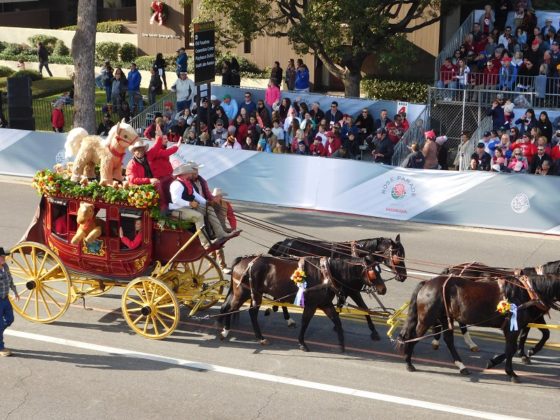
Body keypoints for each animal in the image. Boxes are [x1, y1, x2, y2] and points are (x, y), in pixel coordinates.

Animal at [217, 254, 388, 352]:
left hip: (251, 294)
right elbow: (306, 321)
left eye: (379, 270)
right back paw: (226, 331)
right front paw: (302, 343)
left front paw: (342, 344)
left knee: (249, 311)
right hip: (243, 293)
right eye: (373, 272)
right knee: (232, 308)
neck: (326, 274)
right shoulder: (312, 304)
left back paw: (258, 336)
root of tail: (244, 261)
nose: (383, 289)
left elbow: (337, 321)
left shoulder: (325, 304)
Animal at [268, 235, 404, 340]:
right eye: (398, 257)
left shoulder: (345, 289)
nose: (403, 276)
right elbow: (363, 307)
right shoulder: (352, 290)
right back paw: (288, 318)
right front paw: (374, 331)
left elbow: (341, 305)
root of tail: (284, 243)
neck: (355, 257)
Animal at [398, 272, 560, 384]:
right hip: (427, 319)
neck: (525, 291)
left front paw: (496, 362)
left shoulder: (518, 325)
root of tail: (427, 283)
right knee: (413, 337)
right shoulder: (512, 327)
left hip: (445, 318)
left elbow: (513, 347)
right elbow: (511, 349)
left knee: (448, 340)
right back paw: (408, 362)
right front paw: (511, 372)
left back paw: (461, 366)